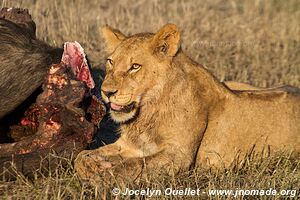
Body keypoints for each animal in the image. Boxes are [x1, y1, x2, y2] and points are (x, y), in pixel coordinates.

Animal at [73, 23, 300, 183]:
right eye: (110, 62)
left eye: (135, 66)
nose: (106, 91)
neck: (149, 111)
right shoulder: (129, 144)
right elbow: (81, 157)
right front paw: (93, 165)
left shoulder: (180, 157)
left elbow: (132, 167)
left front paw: (101, 177)